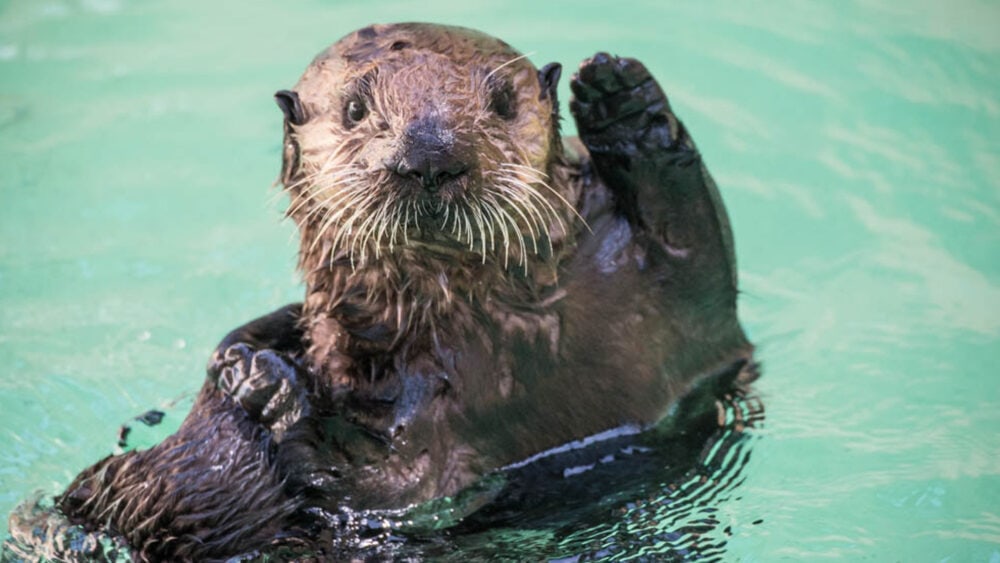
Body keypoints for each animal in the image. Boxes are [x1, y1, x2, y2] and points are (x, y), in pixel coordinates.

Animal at [47, 22, 754, 561]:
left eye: (504, 102)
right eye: (356, 110)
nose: (430, 154)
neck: (497, 341)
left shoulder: (666, 325)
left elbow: (696, 245)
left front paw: (624, 98)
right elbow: (375, 485)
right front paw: (255, 376)